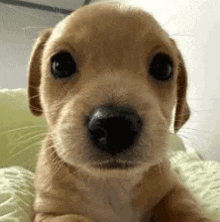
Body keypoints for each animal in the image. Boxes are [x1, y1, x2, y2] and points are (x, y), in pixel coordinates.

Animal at [27, 1, 217, 222]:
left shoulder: (174, 189)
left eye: (164, 67)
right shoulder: (51, 213)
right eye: (60, 64)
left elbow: (184, 204)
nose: (115, 126)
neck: (113, 182)